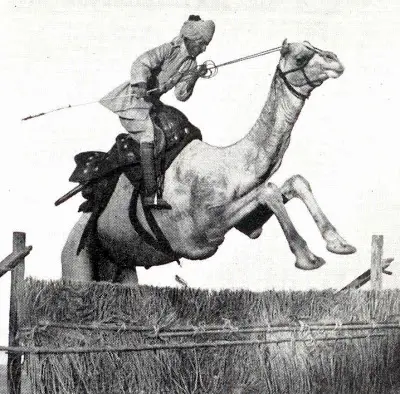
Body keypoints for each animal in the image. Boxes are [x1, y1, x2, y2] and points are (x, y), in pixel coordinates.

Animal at [61, 39, 356, 284]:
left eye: (312, 44)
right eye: (299, 56)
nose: (334, 59)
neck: (229, 166)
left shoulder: (246, 224)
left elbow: (295, 182)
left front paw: (340, 244)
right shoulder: (198, 235)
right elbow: (268, 190)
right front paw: (307, 258)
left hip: (122, 268)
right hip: (76, 261)